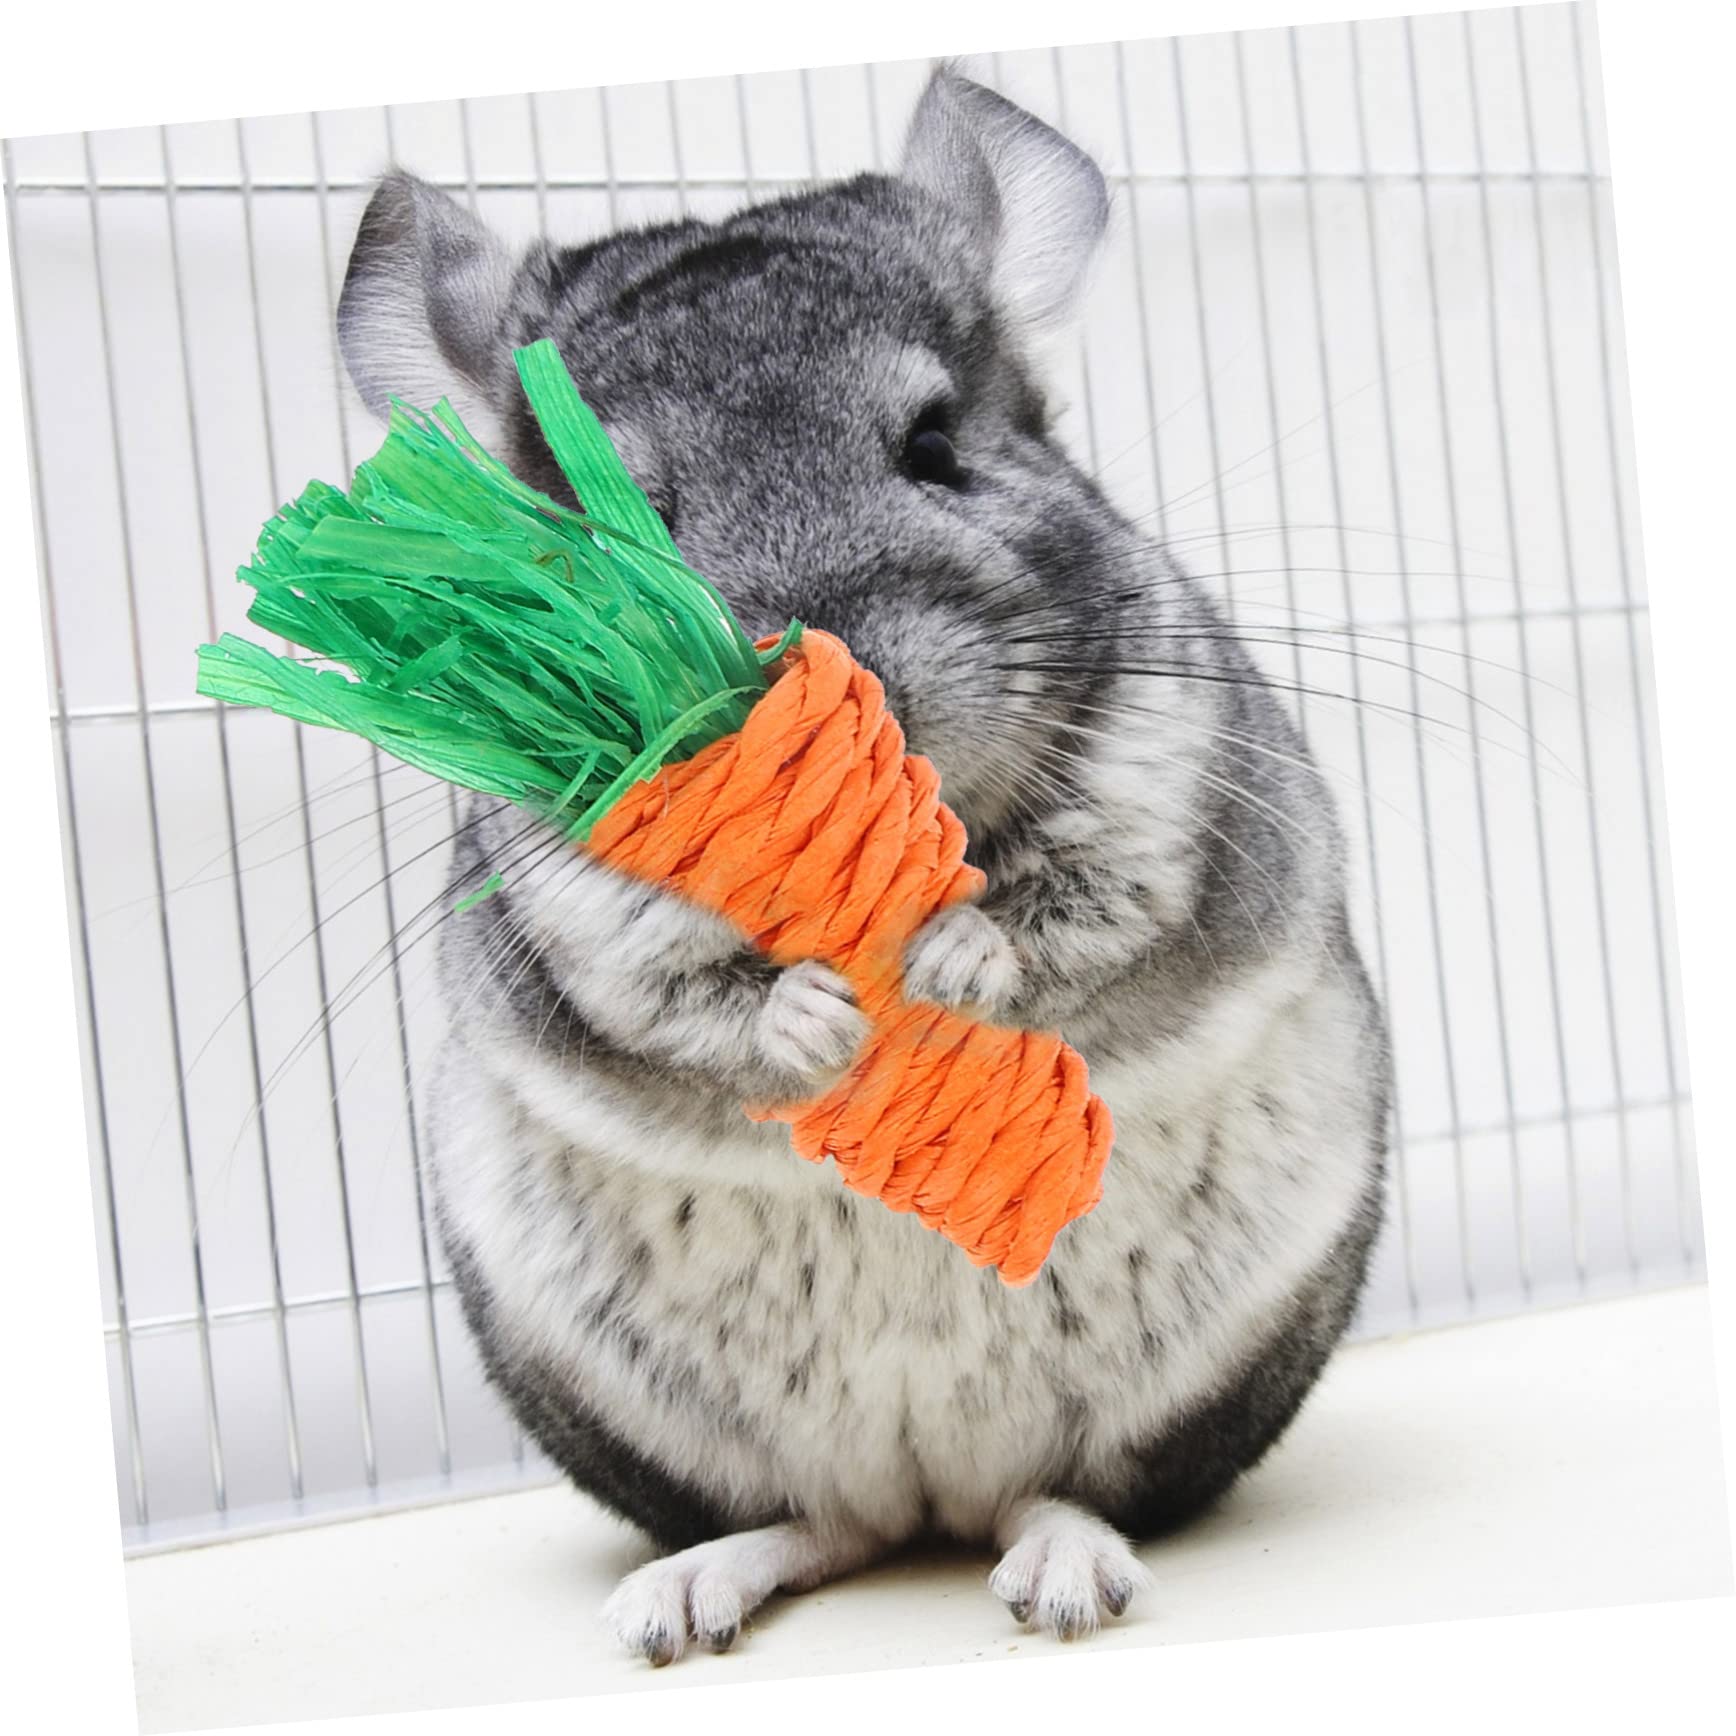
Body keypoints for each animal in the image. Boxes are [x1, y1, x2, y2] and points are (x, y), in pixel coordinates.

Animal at [335, 66, 1390, 1662]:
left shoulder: (1167, 802)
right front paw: (811, 1018)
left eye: (938, 446)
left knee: (1071, 1490)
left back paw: (1064, 1573)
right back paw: (679, 1601)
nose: (830, 695)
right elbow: (675, 993)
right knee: (809, 1524)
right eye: (612, 528)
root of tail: (928, 1489)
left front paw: (956, 956)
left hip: (1205, 1383)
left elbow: (1077, 919)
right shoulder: (570, 910)